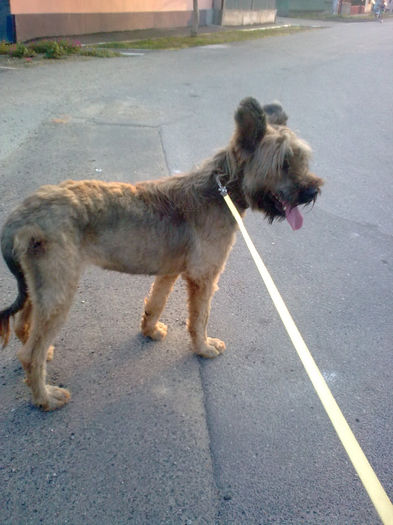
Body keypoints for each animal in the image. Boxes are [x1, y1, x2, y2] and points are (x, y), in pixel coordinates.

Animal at [0, 98, 324, 410]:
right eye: (283, 162)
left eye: (300, 159)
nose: (313, 191)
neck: (221, 190)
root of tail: (20, 217)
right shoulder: (203, 277)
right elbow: (200, 318)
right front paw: (203, 348)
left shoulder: (170, 271)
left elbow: (155, 303)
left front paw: (150, 330)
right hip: (59, 291)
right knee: (29, 354)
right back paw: (45, 397)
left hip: (42, 287)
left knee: (23, 324)